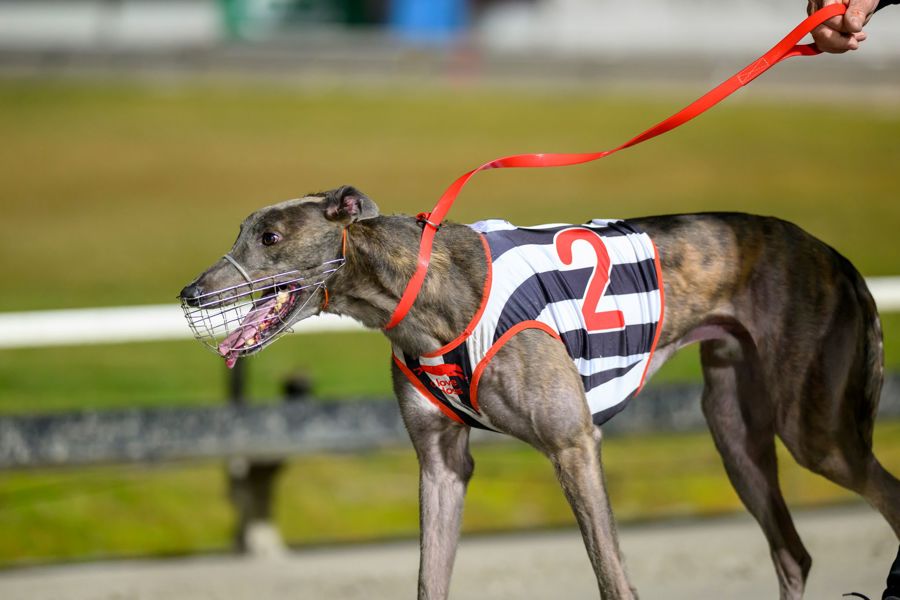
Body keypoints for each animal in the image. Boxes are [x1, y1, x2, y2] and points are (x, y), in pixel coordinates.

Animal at [181, 185, 900, 599]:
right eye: (242, 231)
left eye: (271, 237)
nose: (189, 293)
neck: (421, 289)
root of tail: (835, 258)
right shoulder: (442, 465)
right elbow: (430, 578)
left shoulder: (573, 446)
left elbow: (612, 576)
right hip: (734, 433)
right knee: (793, 554)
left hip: (816, 432)